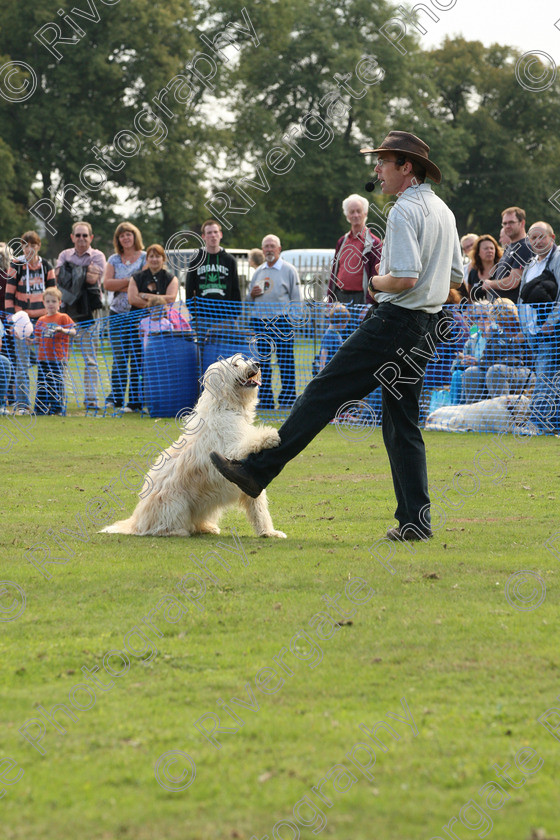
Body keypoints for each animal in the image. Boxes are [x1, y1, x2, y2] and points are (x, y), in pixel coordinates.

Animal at [99, 354, 284, 540]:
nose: (257, 363)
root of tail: (137, 522)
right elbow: (248, 442)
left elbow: (259, 509)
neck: (227, 407)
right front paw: (269, 435)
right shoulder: (231, 449)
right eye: (235, 364)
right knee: (162, 526)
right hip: (175, 503)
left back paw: (206, 527)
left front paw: (269, 532)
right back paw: (176, 531)